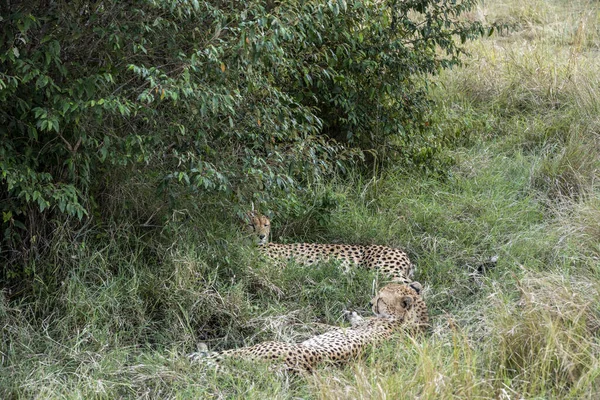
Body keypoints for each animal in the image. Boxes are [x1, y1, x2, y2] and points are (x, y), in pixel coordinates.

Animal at [190, 282, 428, 372]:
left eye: (380, 299)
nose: (370, 303)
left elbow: (325, 324)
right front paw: (351, 313)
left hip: (259, 347)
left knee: (223, 356)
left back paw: (195, 354)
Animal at [246, 212, 414, 282]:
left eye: (265, 225)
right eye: (252, 225)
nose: (261, 236)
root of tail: (403, 253)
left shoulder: (278, 268)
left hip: (381, 270)